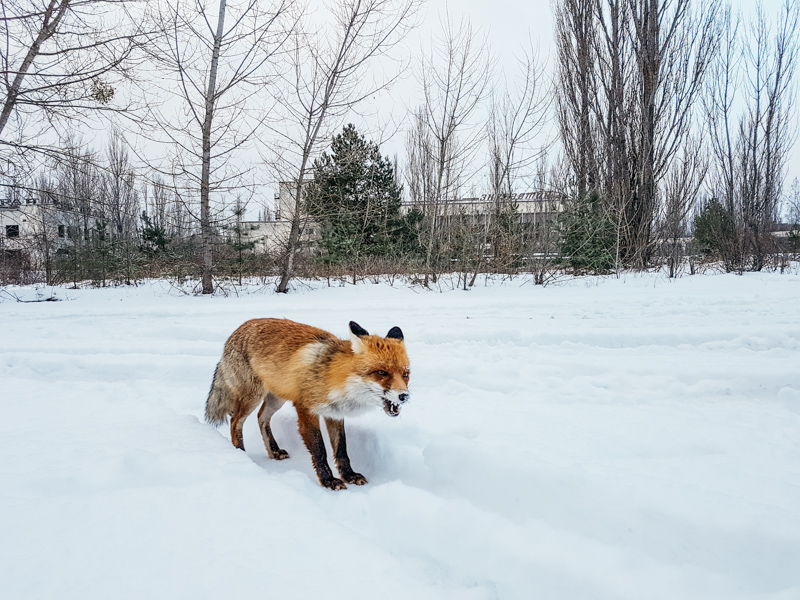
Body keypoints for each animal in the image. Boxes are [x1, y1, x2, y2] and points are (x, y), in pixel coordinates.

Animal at [205, 318, 412, 488]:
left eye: (405, 374)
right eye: (381, 373)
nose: (404, 396)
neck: (333, 377)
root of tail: (237, 330)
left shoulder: (334, 413)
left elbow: (342, 449)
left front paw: (349, 475)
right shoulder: (305, 409)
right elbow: (319, 449)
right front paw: (328, 480)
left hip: (277, 398)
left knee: (261, 418)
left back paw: (274, 451)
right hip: (252, 397)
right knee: (235, 422)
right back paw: (240, 453)